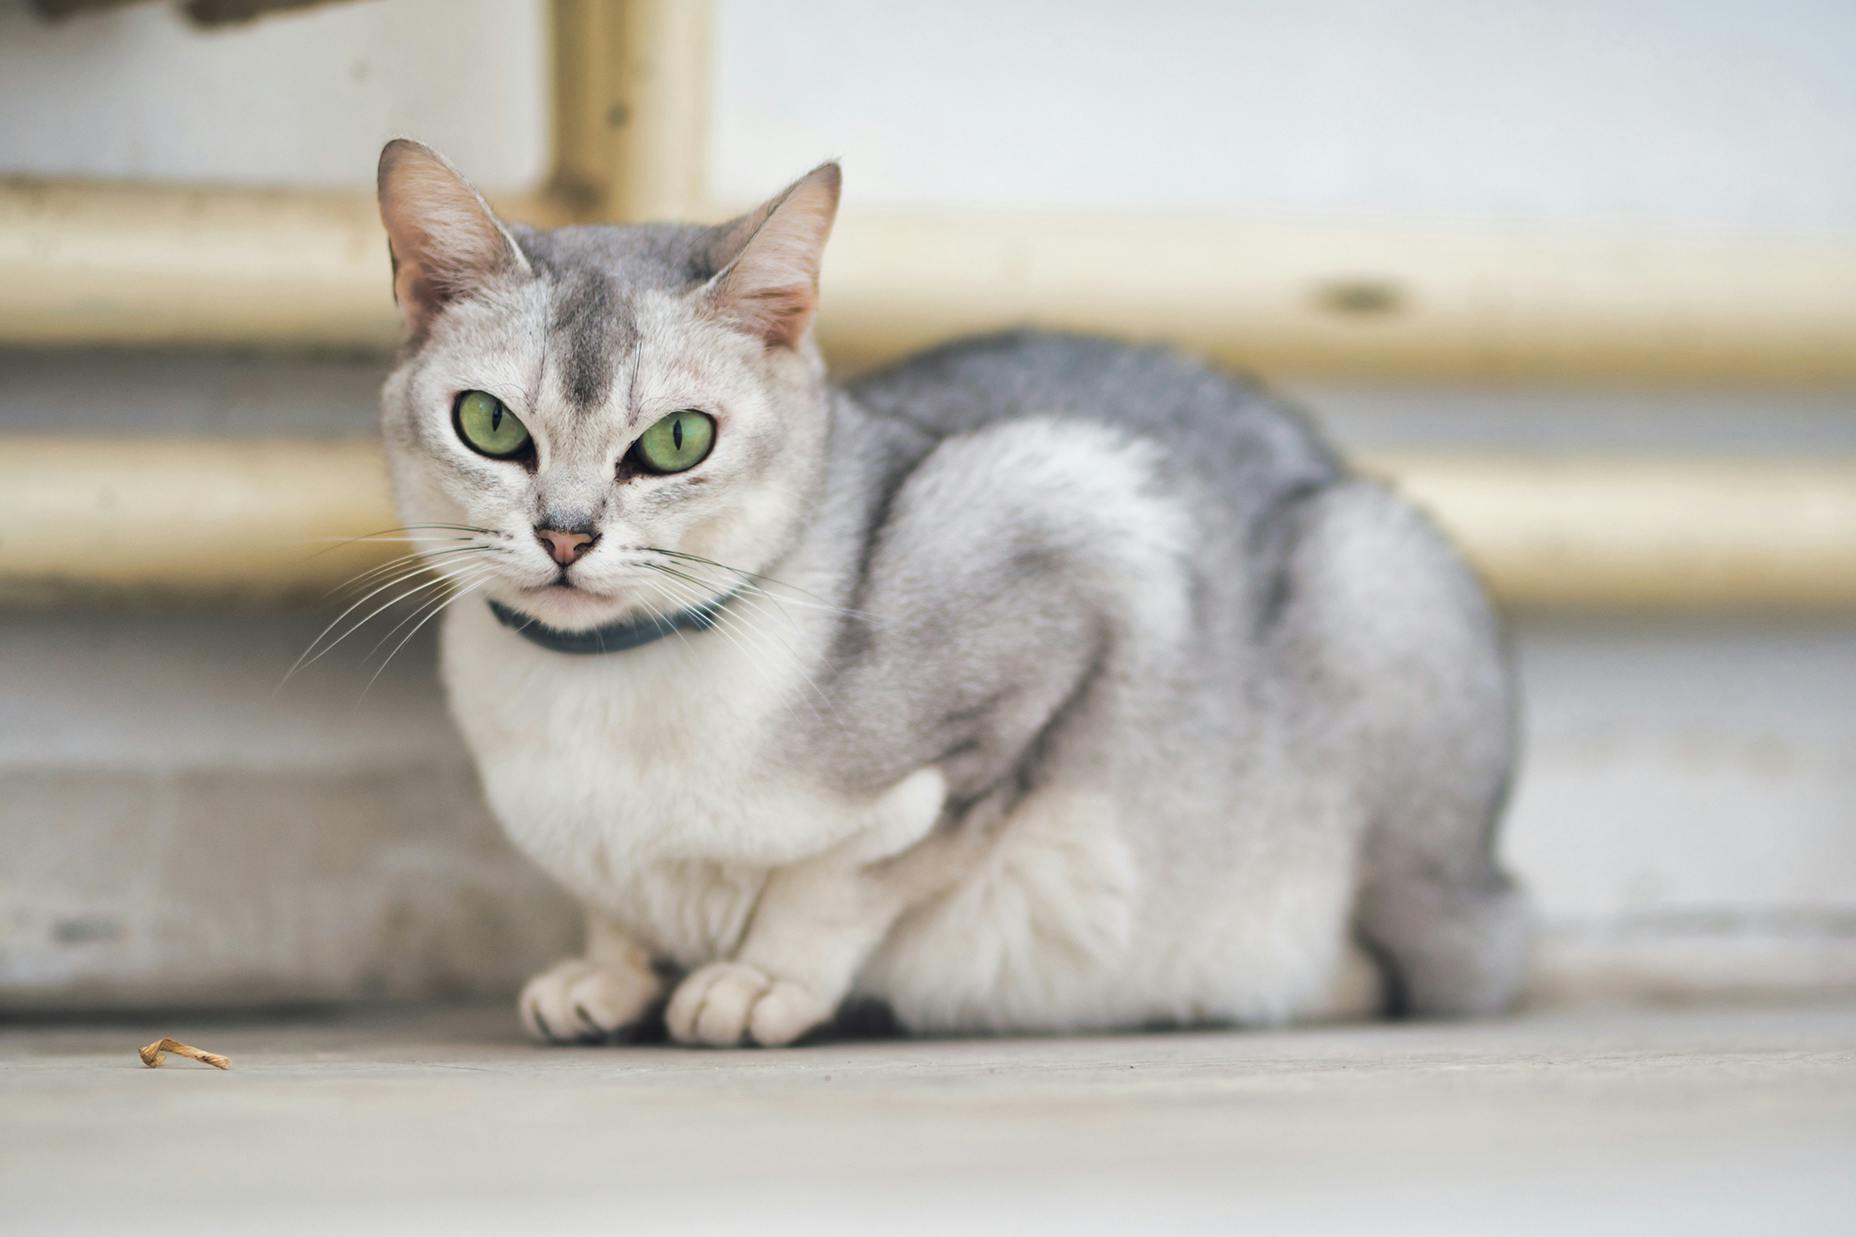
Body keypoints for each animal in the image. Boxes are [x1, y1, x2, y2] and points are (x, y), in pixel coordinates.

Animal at [373, 139, 1521, 1047]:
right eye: (489, 424)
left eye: (675, 442)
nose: (566, 534)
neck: (599, 703)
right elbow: (614, 903)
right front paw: (610, 974)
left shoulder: (1064, 546)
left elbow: (844, 878)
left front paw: (763, 977)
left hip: (1375, 579)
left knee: (1404, 973)